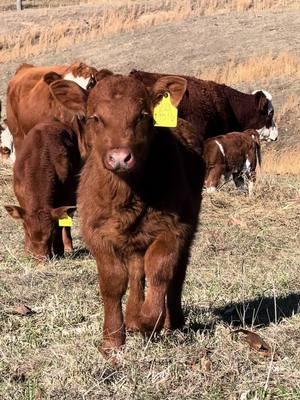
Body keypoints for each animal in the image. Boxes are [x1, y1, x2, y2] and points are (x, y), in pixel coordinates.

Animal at [4, 120, 82, 260]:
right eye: (30, 234)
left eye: (51, 234)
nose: (41, 259)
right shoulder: (21, 195)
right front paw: (27, 251)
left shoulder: (66, 195)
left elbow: (60, 224)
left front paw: (59, 250)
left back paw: (68, 246)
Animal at [48, 72, 205, 354]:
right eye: (95, 117)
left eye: (143, 115)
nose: (120, 158)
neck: (128, 195)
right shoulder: (96, 232)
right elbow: (113, 281)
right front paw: (112, 338)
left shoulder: (174, 228)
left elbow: (159, 269)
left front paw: (148, 321)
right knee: (135, 271)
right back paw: (132, 315)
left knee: (176, 272)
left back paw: (172, 322)